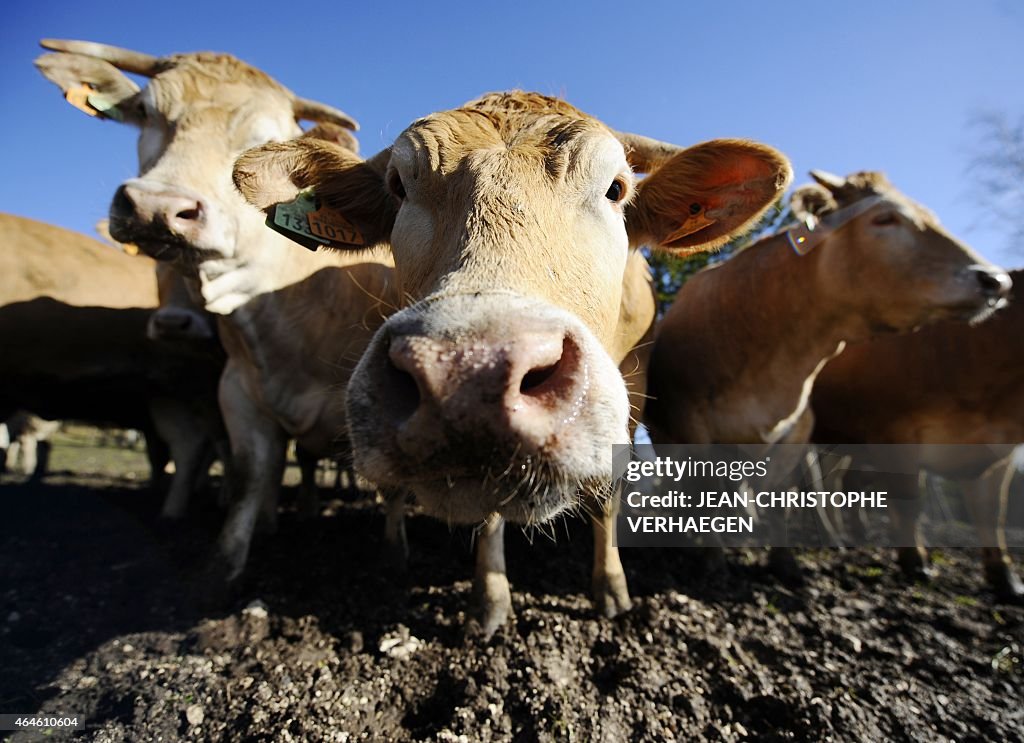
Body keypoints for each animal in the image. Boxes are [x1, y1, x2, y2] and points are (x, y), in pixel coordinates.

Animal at [33, 37, 399, 577]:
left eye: (263, 137)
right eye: (145, 112)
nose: (157, 209)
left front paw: (397, 554)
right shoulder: (237, 393)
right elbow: (251, 475)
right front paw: (227, 565)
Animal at [232, 87, 790, 634]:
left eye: (615, 189)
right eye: (398, 186)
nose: (466, 375)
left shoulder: (631, 393)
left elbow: (608, 494)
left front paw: (611, 587)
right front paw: (491, 597)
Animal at [643, 169, 1011, 581]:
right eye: (885, 219)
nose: (996, 280)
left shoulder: (798, 432)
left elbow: (782, 497)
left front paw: (783, 561)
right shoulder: (692, 426)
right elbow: (703, 490)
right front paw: (713, 559)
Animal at [811, 270, 1024, 601]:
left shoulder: (1000, 448)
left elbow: (991, 512)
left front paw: (1005, 578)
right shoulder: (895, 432)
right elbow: (910, 501)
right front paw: (916, 562)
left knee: (835, 481)